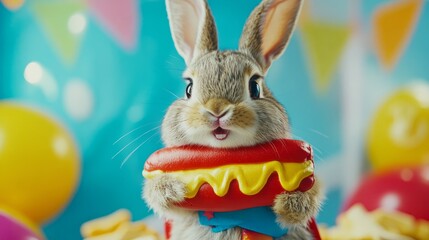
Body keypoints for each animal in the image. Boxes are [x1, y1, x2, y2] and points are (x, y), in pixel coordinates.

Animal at [142, 0, 322, 239]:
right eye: (188, 88)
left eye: (255, 86)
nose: (217, 109)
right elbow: (161, 199)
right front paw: (172, 189)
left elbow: (309, 198)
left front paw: (287, 203)